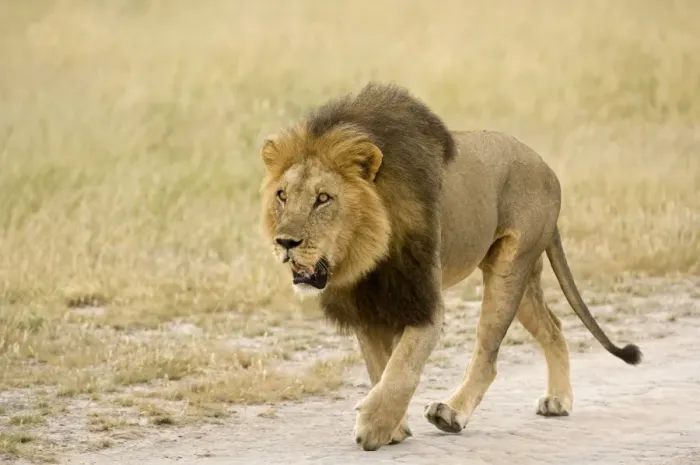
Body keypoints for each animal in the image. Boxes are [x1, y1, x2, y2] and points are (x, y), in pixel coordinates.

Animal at [259, 82, 642, 452]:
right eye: (282, 195)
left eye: (323, 199)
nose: (285, 242)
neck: (367, 255)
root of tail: (547, 169)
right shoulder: (366, 308)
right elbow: (380, 367)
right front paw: (394, 428)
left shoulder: (425, 302)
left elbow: (402, 368)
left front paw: (374, 425)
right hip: (524, 278)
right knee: (553, 328)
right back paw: (559, 398)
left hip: (510, 269)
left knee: (487, 354)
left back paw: (452, 413)